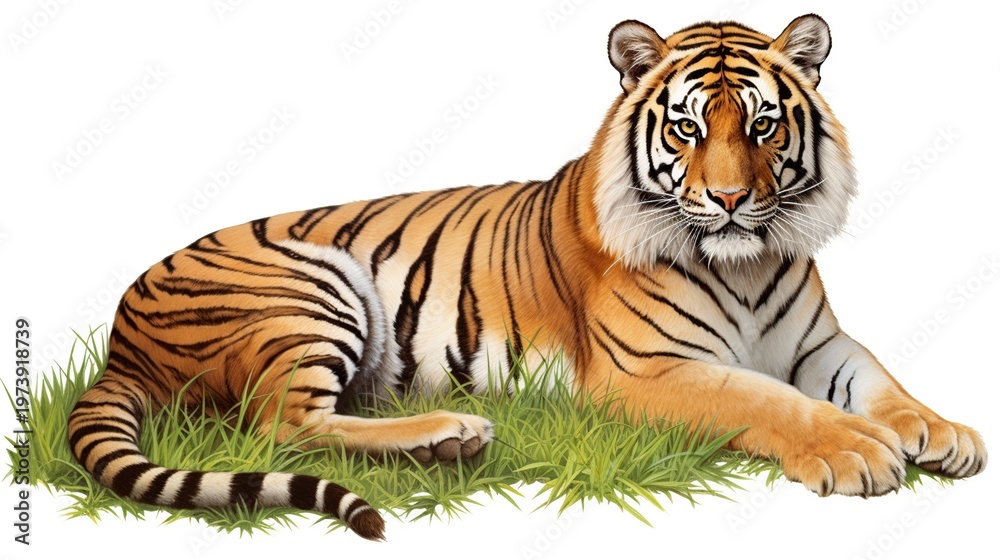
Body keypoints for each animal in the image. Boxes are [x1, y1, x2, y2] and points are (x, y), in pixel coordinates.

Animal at [68, 14, 987, 541]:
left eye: (762, 126)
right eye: (688, 129)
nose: (729, 200)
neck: (746, 260)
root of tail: (119, 343)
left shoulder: (819, 344)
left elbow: (881, 381)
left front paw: (942, 433)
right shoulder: (643, 373)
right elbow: (766, 402)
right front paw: (856, 451)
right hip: (308, 285)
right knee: (279, 427)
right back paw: (449, 433)